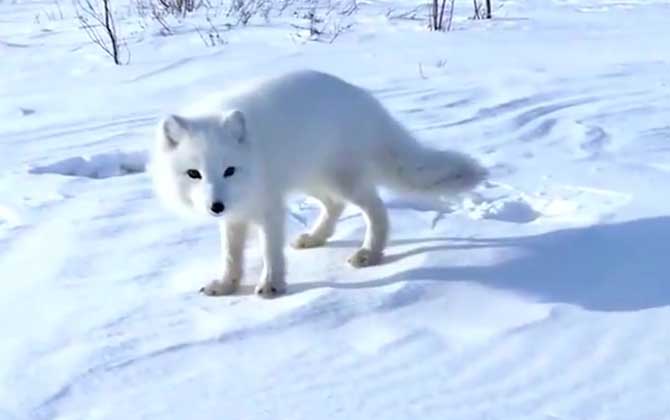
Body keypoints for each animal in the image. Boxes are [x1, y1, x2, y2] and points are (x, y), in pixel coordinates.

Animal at [151, 70, 488, 296]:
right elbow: (231, 255)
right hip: (313, 178)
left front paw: (272, 285)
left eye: (229, 170)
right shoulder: (237, 213)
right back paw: (315, 237)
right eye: (194, 174)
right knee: (335, 205)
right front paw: (226, 285)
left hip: (344, 180)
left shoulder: (269, 206)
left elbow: (270, 251)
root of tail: (364, 99)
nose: (216, 206)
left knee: (377, 210)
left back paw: (370, 254)